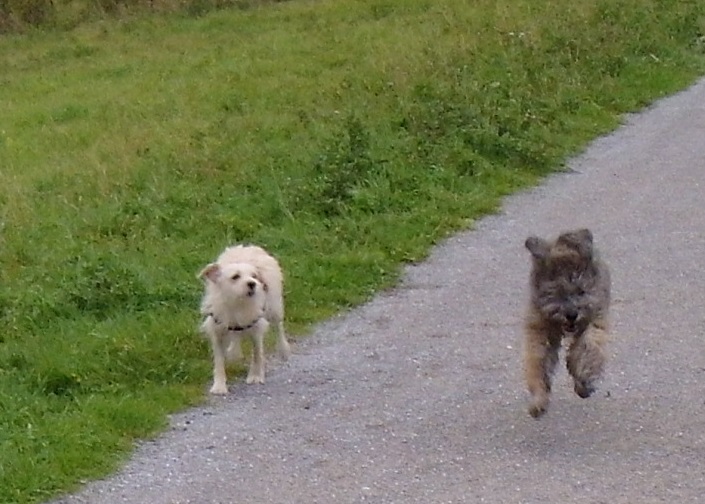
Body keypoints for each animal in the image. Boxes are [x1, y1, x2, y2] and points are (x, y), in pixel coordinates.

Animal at [197, 244, 290, 394]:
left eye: (254, 276)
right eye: (235, 276)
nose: (252, 284)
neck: (237, 303)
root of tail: (249, 247)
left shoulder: (256, 326)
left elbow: (257, 353)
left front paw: (256, 376)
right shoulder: (218, 330)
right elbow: (219, 360)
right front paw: (219, 385)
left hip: (274, 307)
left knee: (278, 326)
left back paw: (284, 350)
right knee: (236, 335)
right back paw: (233, 351)